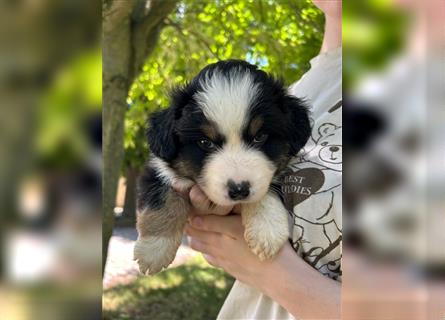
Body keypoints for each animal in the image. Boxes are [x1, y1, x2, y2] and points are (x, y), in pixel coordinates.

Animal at [134, 60, 310, 276]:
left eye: (260, 137)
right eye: (205, 142)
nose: (239, 190)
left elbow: (269, 188)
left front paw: (266, 230)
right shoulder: (158, 169)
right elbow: (162, 200)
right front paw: (154, 250)